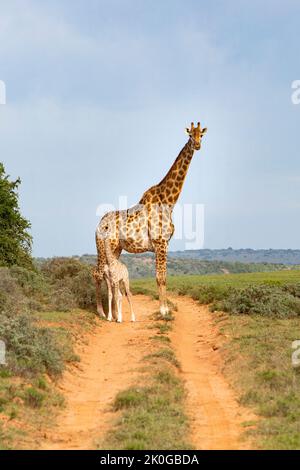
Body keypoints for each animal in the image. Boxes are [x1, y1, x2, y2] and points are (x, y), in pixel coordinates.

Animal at [93, 123, 206, 318]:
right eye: (190, 135)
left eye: (202, 135)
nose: (197, 145)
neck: (168, 202)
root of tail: (98, 225)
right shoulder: (161, 243)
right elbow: (160, 277)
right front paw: (163, 311)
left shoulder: (164, 244)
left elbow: (163, 277)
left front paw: (165, 309)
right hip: (101, 248)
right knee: (98, 274)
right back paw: (101, 312)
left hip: (115, 249)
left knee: (109, 274)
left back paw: (114, 312)